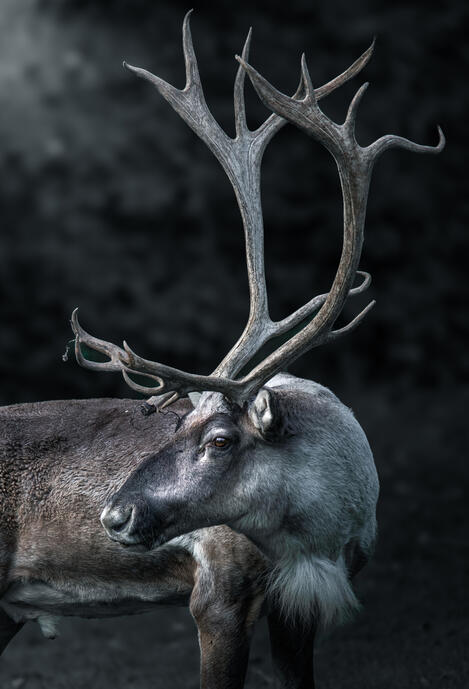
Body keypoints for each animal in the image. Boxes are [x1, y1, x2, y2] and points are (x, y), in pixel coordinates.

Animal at [0, 11, 443, 689]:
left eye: (218, 439)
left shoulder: (299, 606)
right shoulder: (219, 592)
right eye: (176, 424)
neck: (319, 538)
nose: (113, 515)